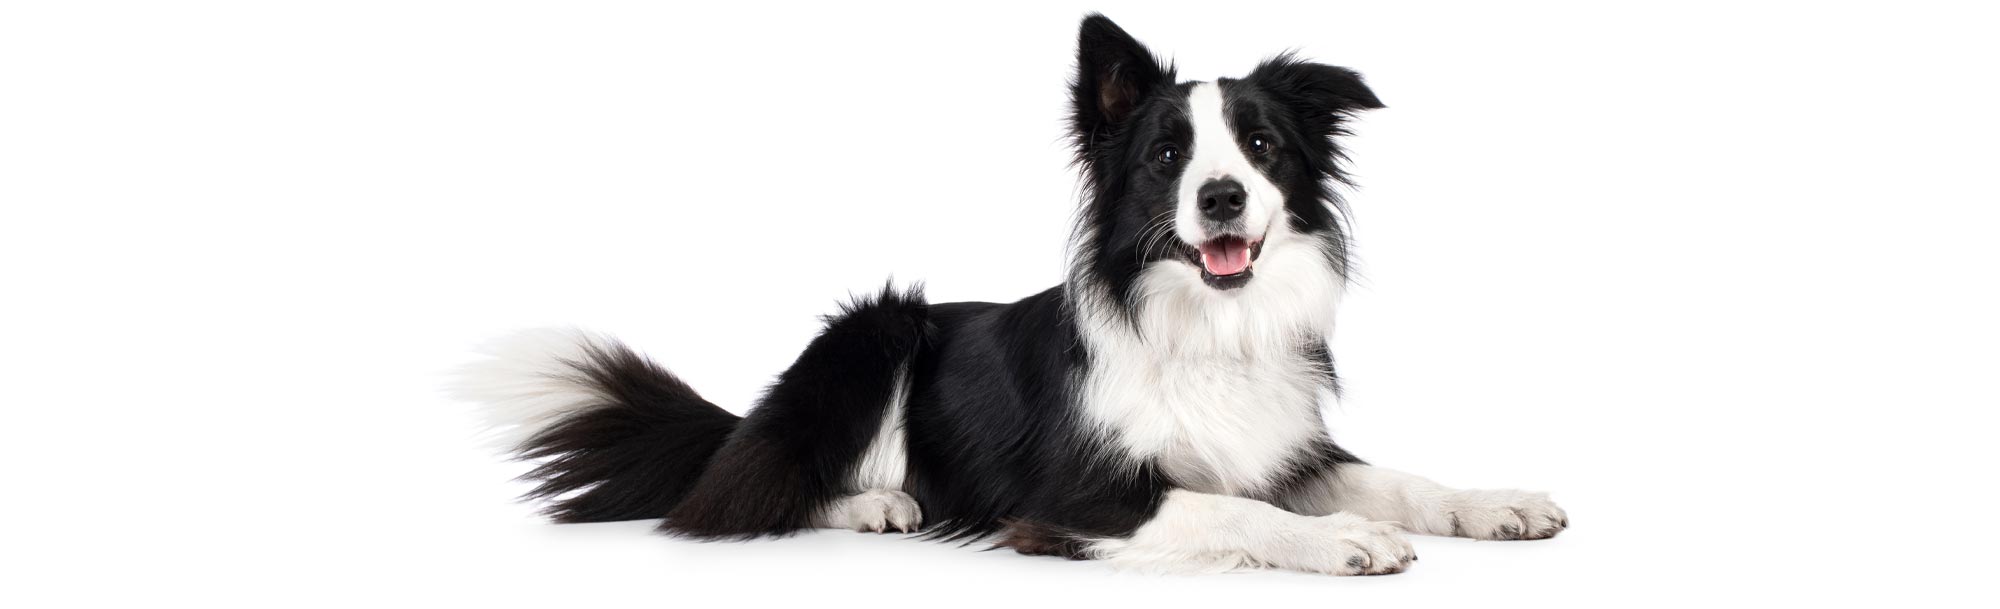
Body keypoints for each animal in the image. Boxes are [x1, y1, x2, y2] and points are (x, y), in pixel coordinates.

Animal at [458, 15, 1560, 576]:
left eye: (1259, 146)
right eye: (1167, 156)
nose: (1220, 197)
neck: (1205, 326)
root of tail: (746, 418)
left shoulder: (1282, 444)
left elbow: (1395, 477)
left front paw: (1492, 504)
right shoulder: (1064, 498)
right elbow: (1219, 507)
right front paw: (1337, 540)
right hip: (876, 331)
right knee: (744, 494)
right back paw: (877, 503)